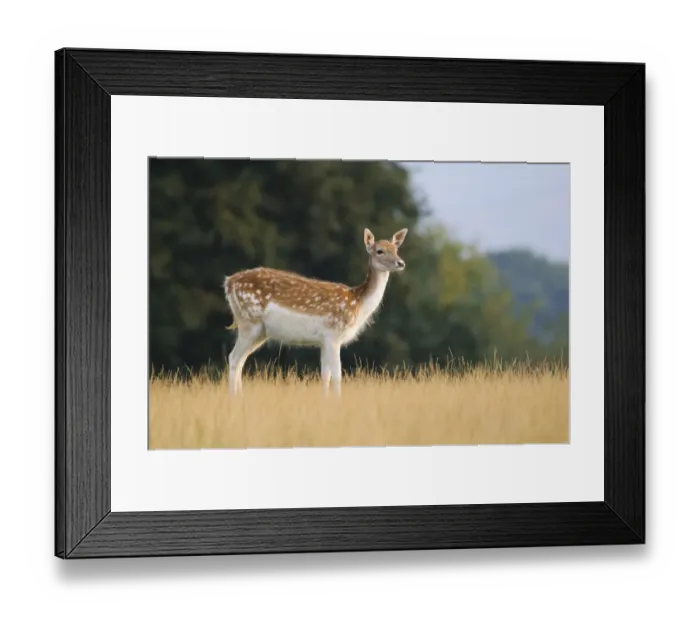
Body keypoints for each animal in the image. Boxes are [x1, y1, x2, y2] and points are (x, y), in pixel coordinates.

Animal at [223, 227, 408, 396]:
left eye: (396, 249)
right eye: (380, 251)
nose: (400, 263)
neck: (357, 305)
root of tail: (228, 283)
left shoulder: (323, 340)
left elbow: (325, 375)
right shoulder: (333, 335)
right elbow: (337, 375)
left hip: (259, 331)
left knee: (241, 360)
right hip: (249, 322)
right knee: (234, 358)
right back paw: (235, 399)